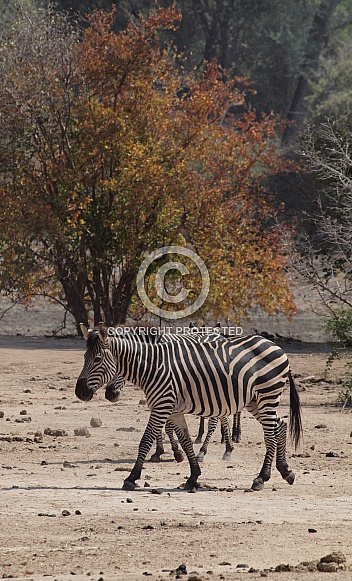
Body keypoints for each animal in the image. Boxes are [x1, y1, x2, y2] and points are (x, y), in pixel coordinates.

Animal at [77, 324, 302, 492]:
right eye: (84, 358)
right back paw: (285, 471)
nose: (80, 393)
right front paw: (193, 476)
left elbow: (146, 440)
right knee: (280, 425)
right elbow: (185, 441)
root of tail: (276, 346)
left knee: (270, 435)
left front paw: (132, 477)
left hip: (267, 395)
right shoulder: (172, 409)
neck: (153, 366)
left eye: (97, 359)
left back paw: (261, 478)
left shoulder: (162, 405)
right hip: (255, 400)